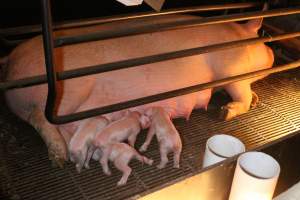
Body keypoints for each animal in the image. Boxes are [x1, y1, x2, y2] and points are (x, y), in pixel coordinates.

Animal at [1, 14, 274, 167]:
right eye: (263, 36)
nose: (272, 51)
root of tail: (11, 59)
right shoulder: (231, 70)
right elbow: (241, 94)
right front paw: (223, 113)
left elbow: (248, 95)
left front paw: (256, 100)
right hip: (64, 95)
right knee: (41, 118)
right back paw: (59, 158)